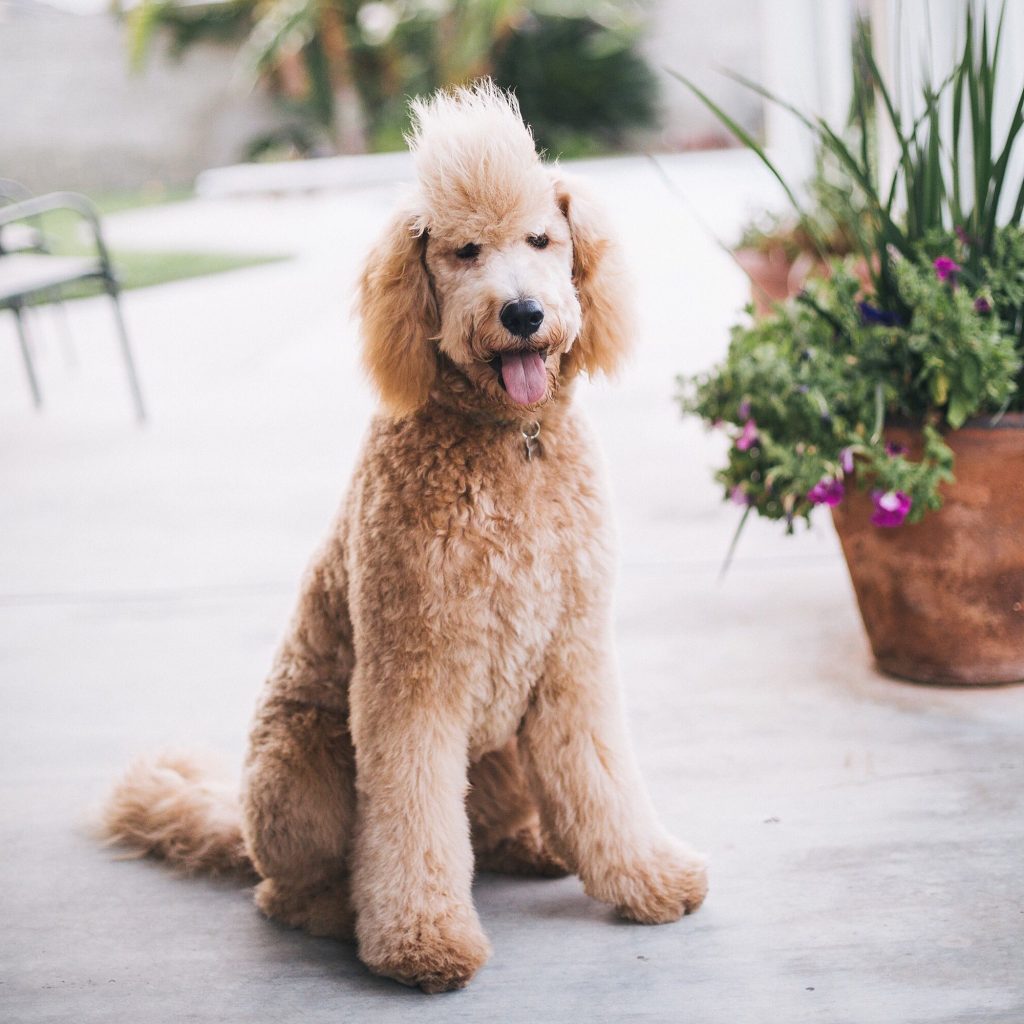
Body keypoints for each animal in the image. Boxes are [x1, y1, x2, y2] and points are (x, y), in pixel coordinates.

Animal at [105, 79, 712, 991]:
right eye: (463, 251)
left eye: (542, 239)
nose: (523, 312)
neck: (508, 444)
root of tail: (238, 826)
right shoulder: (412, 675)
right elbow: (410, 820)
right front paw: (421, 941)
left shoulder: (571, 659)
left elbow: (604, 780)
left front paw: (648, 877)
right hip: (303, 761)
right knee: (286, 887)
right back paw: (337, 910)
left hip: (507, 755)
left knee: (494, 830)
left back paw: (535, 845)